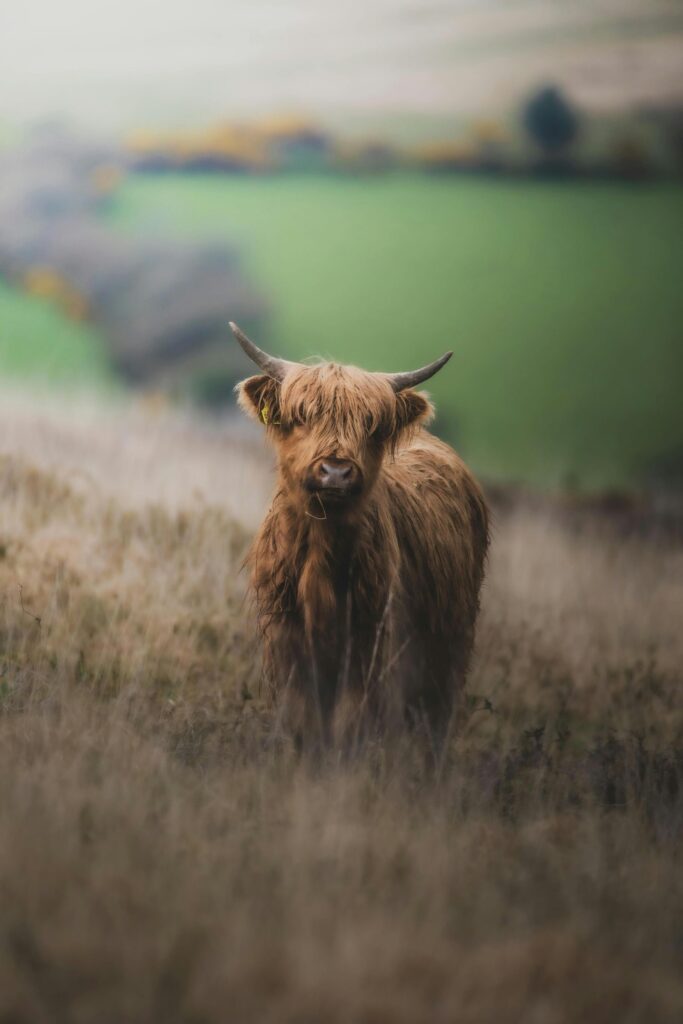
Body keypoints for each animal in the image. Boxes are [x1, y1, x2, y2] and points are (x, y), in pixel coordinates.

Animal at [231, 322, 489, 749]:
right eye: (301, 416)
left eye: (372, 425)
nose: (335, 471)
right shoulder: (287, 645)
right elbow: (303, 724)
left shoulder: (371, 648)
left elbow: (349, 727)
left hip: (449, 648)